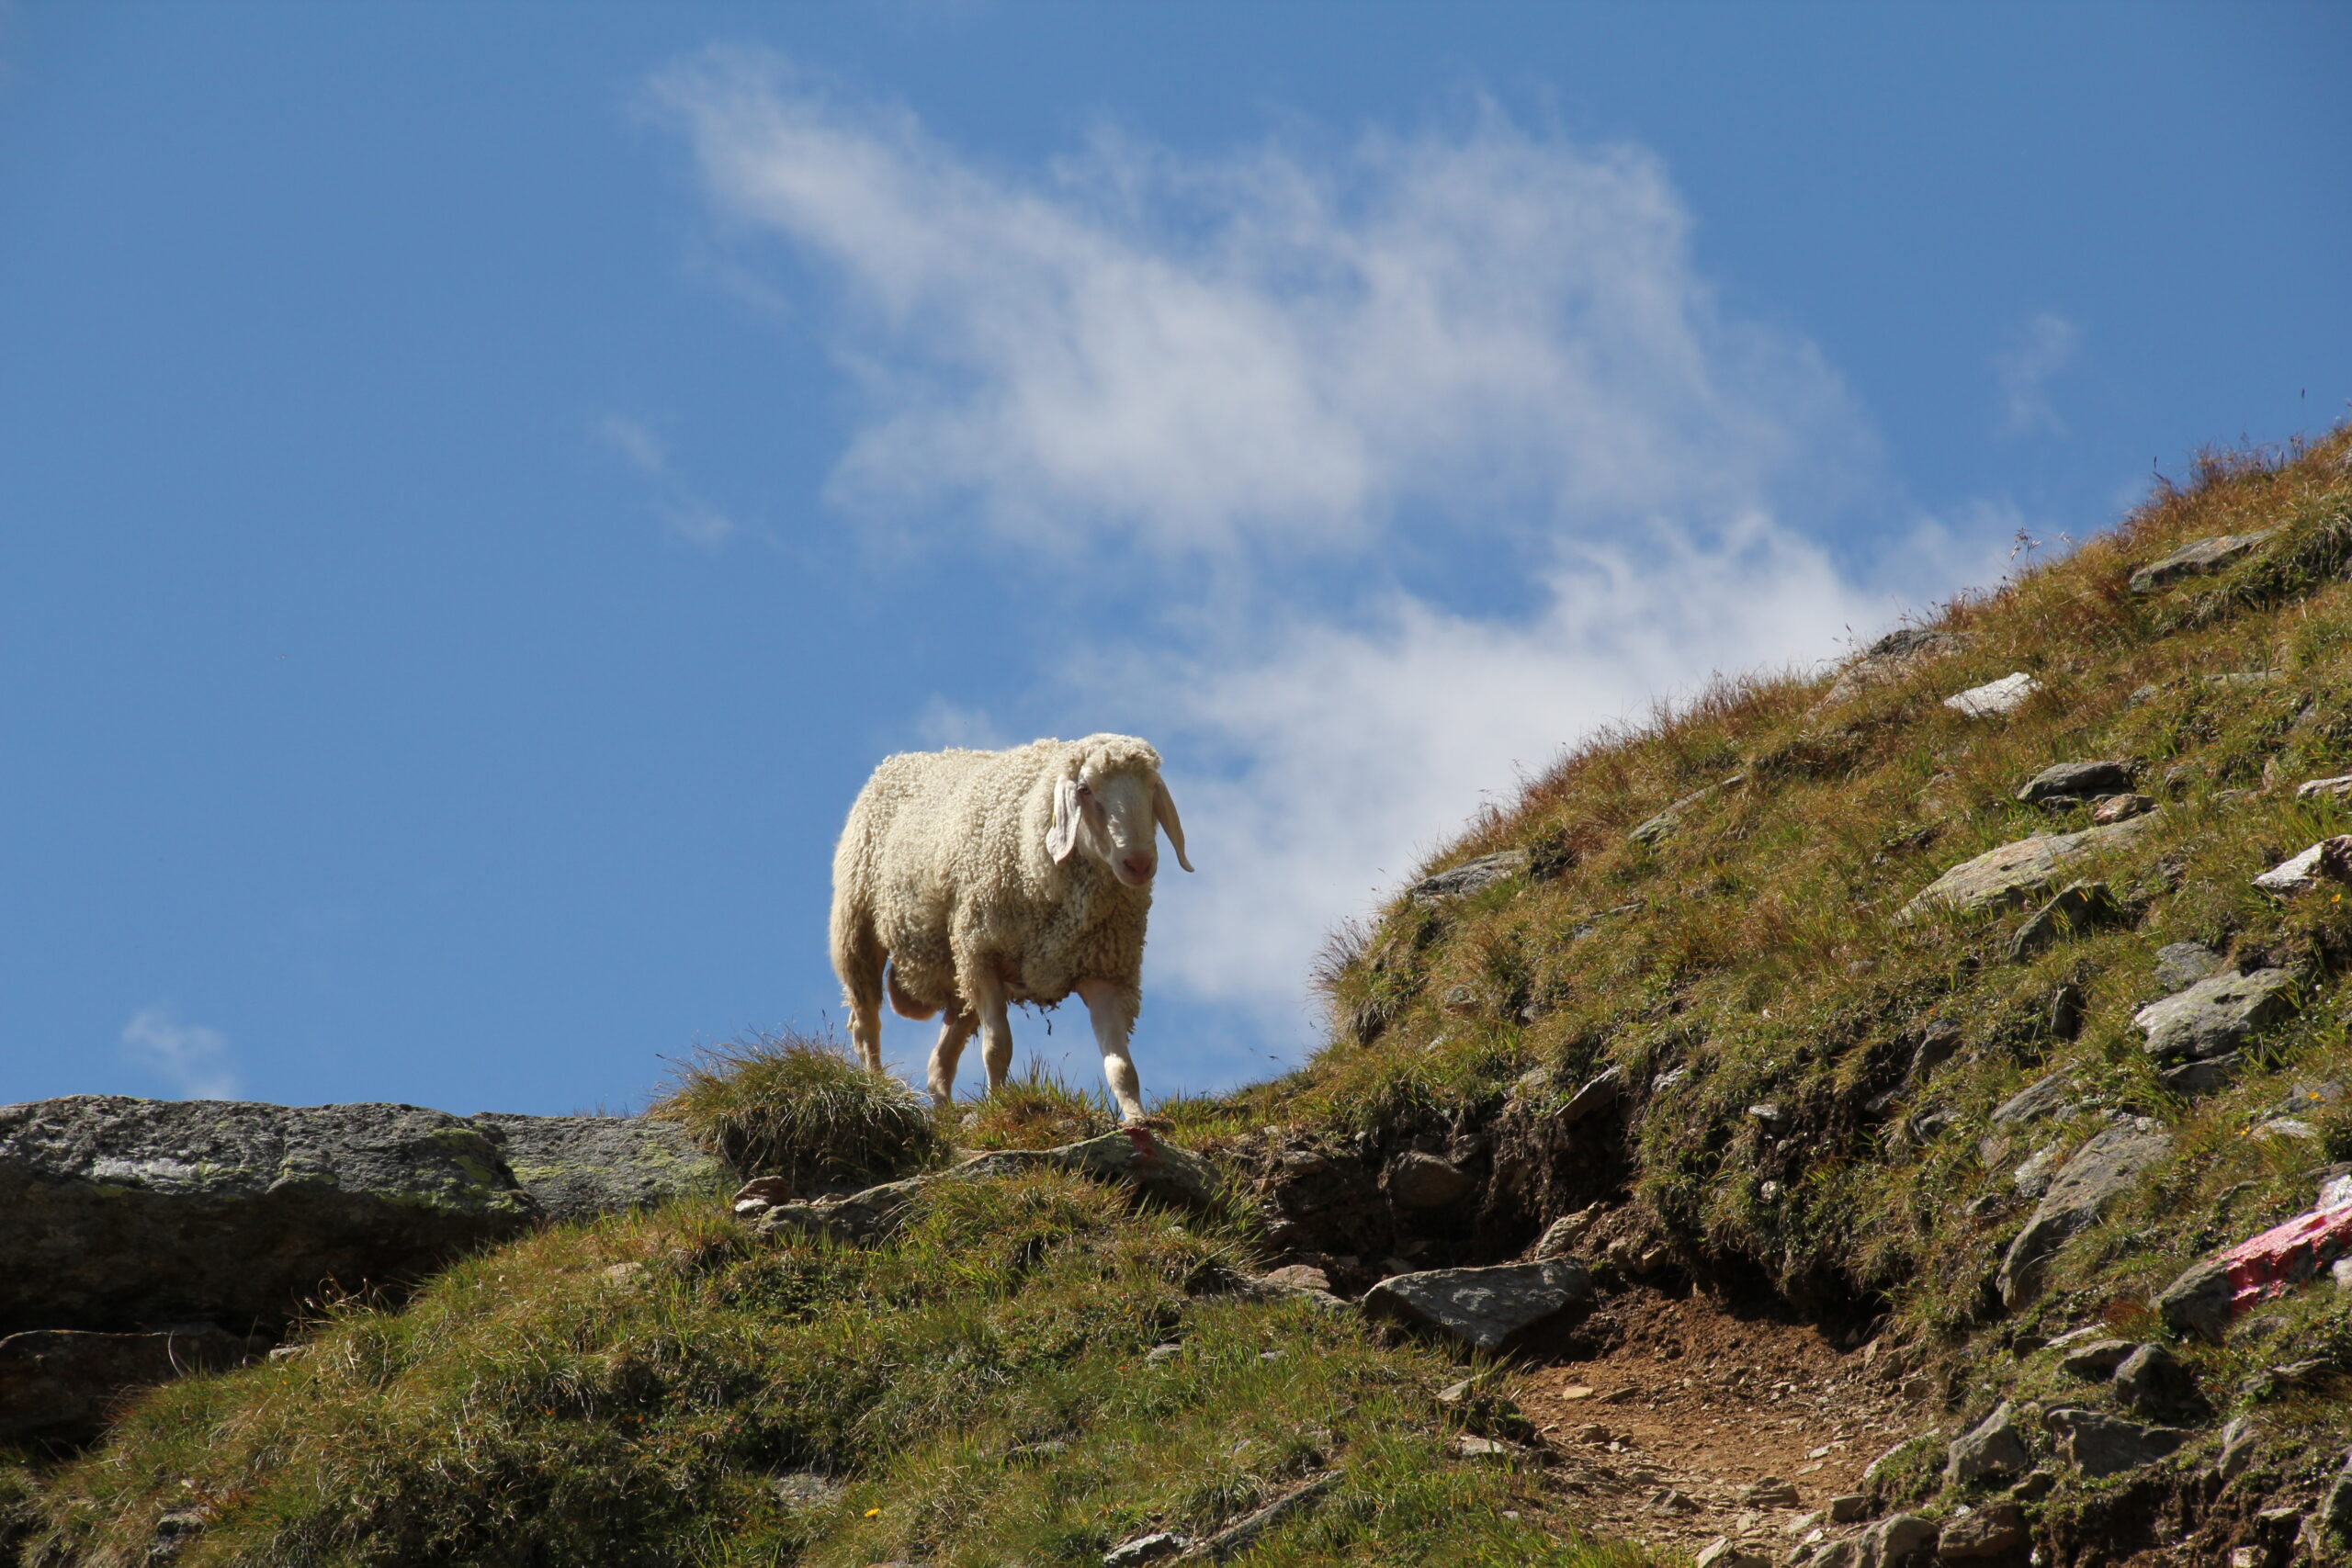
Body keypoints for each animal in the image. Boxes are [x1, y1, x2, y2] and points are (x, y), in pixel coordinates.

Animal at [828, 733, 1192, 1124]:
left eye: (1152, 786)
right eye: (1084, 789)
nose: (1138, 863)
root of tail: (900, 760)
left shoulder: (1104, 970)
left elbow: (1121, 1064)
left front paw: (1137, 1119)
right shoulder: (982, 953)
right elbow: (998, 1047)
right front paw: (998, 1107)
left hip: (958, 973)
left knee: (941, 1057)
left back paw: (944, 1113)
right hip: (858, 926)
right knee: (866, 1021)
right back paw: (876, 1088)